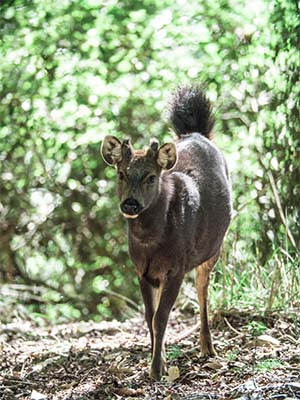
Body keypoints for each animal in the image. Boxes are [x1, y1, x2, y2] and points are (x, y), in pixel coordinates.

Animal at [101, 86, 232, 380]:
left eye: (151, 176)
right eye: (121, 173)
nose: (130, 204)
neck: (150, 241)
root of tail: (197, 134)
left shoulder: (177, 267)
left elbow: (161, 317)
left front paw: (157, 369)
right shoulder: (141, 270)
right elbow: (149, 318)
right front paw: (156, 360)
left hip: (212, 250)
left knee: (203, 293)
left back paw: (208, 348)